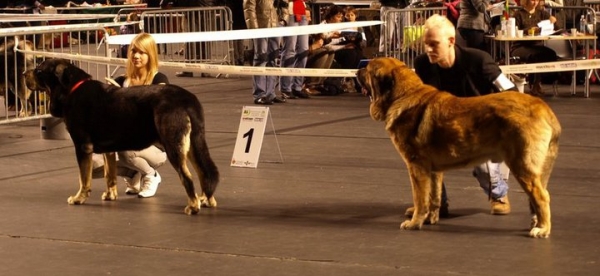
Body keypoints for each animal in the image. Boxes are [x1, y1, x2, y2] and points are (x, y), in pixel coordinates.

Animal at [25, 57, 220, 213]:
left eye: (39, 70)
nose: (23, 73)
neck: (71, 89)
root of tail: (187, 99)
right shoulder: (108, 150)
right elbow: (109, 174)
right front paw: (110, 195)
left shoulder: (82, 146)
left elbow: (84, 178)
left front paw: (79, 198)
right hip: (194, 145)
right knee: (205, 172)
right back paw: (206, 200)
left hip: (174, 146)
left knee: (187, 176)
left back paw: (193, 206)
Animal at [356, 57, 564, 238]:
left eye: (369, 69)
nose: (358, 70)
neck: (401, 95)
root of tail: (543, 107)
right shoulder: (434, 171)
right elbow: (434, 196)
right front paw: (431, 219)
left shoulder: (416, 167)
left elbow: (420, 198)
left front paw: (414, 223)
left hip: (522, 166)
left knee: (542, 196)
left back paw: (542, 229)